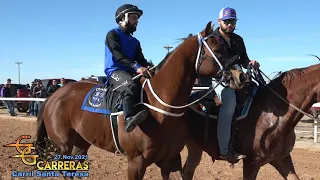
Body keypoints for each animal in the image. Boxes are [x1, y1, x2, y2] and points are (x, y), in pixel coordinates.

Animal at [37, 21, 248, 180]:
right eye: (216, 49)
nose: (241, 76)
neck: (160, 107)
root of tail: (53, 96)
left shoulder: (171, 160)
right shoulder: (136, 162)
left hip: (81, 143)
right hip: (63, 145)